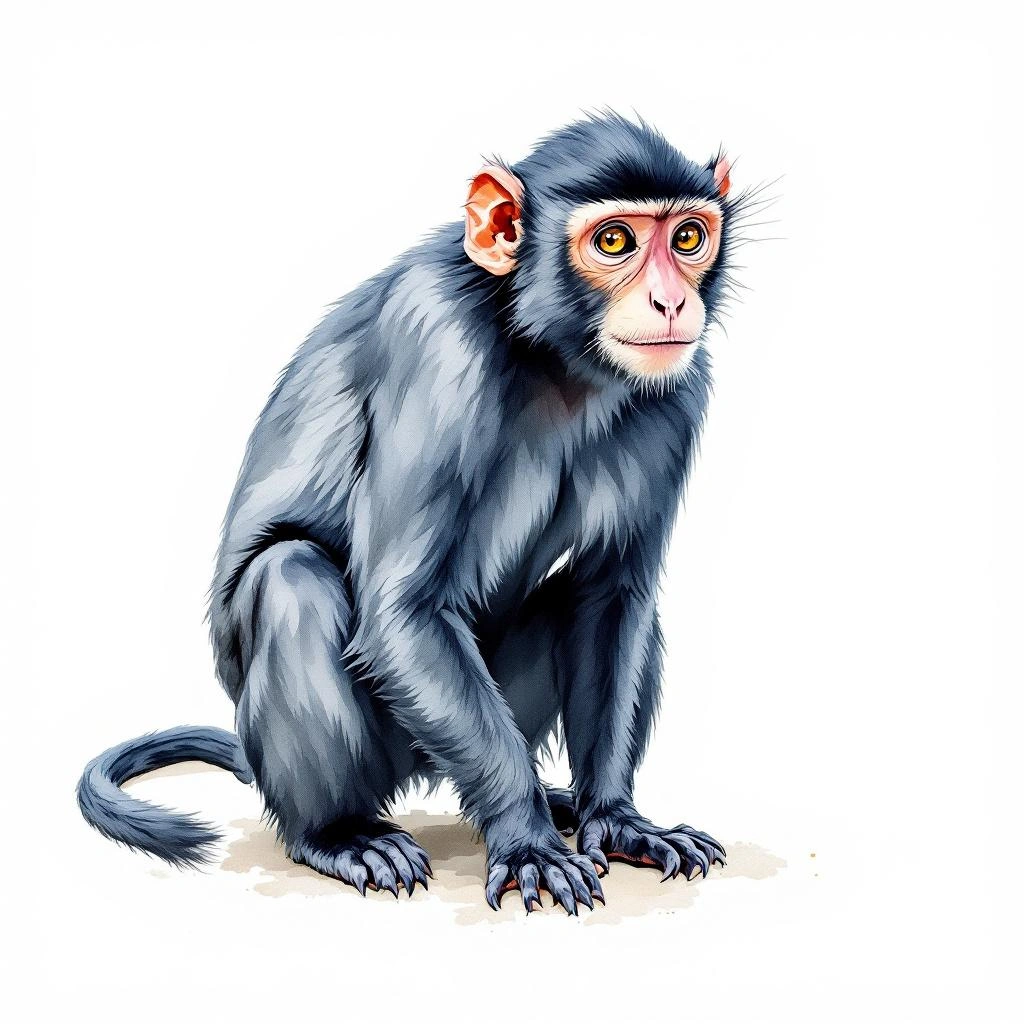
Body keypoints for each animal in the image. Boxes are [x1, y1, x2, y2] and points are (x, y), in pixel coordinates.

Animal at [78, 113, 746, 914]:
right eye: (614, 241)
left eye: (688, 237)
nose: (671, 302)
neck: (554, 358)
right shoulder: (438, 353)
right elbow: (403, 612)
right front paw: (527, 842)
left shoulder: (679, 392)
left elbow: (611, 599)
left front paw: (616, 820)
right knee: (290, 577)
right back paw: (338, 834)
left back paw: (563, 803)